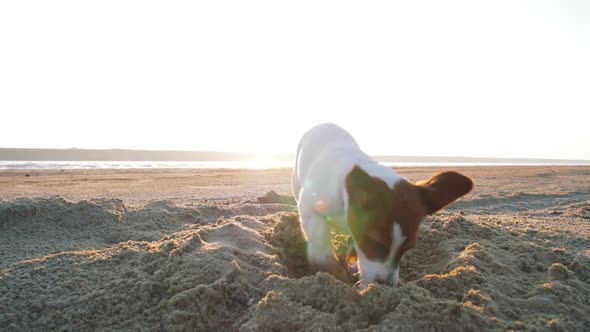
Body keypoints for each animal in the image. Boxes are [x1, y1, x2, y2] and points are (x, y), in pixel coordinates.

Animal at [294, 123, 474, 286]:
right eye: (374, 242)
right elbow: (321, 246)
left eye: (407, 248)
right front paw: (332, 270)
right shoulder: (311, 210)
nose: (385, 285)